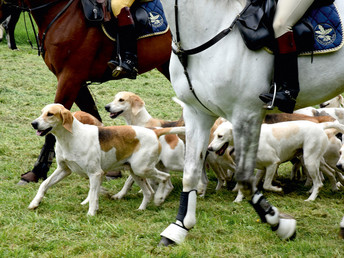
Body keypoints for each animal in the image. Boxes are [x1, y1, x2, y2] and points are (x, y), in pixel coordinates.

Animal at [0, 0, 172, 183]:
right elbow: (93, 116)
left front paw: (38, 170)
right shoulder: (77, 82)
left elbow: (51, 126)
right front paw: (111, 168)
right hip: (166, 64)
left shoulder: (70, 78)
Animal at [159, 0, 344, 246]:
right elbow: (191, 172)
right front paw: (179, 227)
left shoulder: (246, 114)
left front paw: (280, 224)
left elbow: (245, 179)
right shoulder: (196, 113)